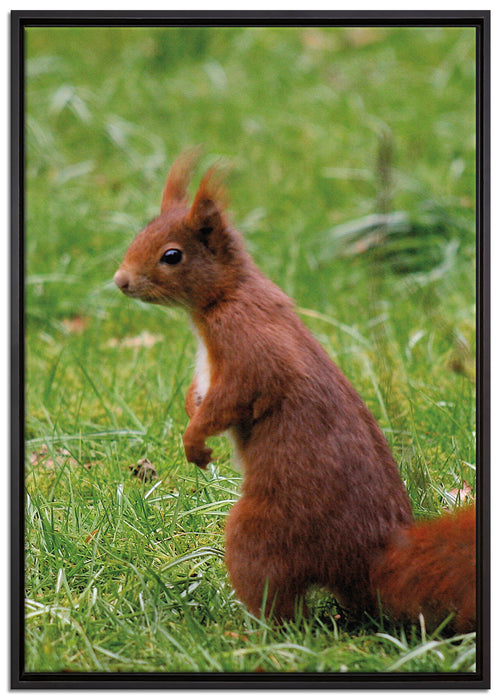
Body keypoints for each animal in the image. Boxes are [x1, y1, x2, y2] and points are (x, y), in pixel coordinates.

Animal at [114, 149, 476, 633]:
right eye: (140, 232)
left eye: (172, 255)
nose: (121, 281)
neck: (225, 296)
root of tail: (371, 558)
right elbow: (200, 395)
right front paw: (193, 422)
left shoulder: (249, 349)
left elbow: (233, 398)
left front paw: (194, 441)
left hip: (263, 533)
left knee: (280, 604)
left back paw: (246, 629)